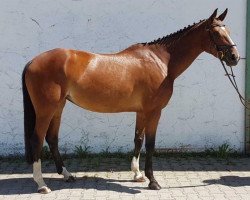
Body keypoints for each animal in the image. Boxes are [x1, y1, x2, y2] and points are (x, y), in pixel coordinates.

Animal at [22, 8, 239, 193]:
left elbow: (138, 140)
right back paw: (41, 184)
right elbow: (150, 144)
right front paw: (153, 181)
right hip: (46, 109)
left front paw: (137, 174)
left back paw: (67, 175)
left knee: (52, 138)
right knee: (37, 139)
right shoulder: (154, 111)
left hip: (58, 107)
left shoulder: (141, 111)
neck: (161, 61)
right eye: (216, 33)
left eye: (228, 30)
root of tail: (33, 61)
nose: (234, 57)